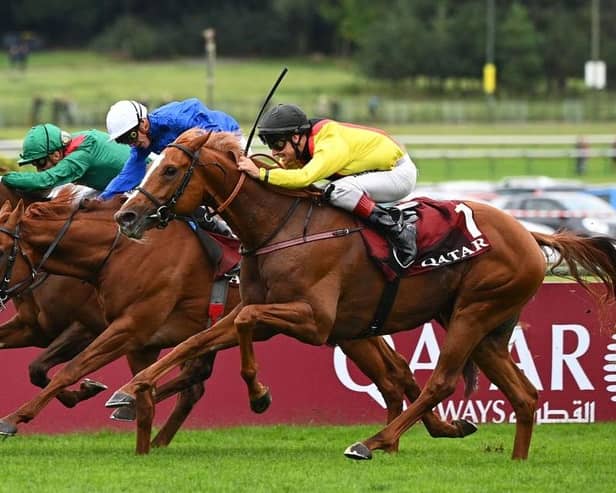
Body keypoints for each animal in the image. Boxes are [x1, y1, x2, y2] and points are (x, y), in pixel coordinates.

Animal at [0, 190, 474, 452]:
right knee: (396, 375)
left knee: (393, 377)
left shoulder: (124, 326)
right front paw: (137, 432)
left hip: (344, 328)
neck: (116, 253)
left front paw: (15, 419)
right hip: (352, 328)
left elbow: (67, 371)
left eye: (3, 250)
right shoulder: (133, 336)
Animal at [112, 129, 616, 460]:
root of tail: (529, 233)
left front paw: (258, 395)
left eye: (171, 169)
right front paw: (130, 388)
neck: (279, 226)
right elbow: (203, 338)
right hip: (482, 327)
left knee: (439, 382)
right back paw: (514, 460)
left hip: (474, 313)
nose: (126, 216)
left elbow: (241, 322)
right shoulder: (273, 309)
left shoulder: (314, 320)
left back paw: (374, 441)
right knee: (525, 395)